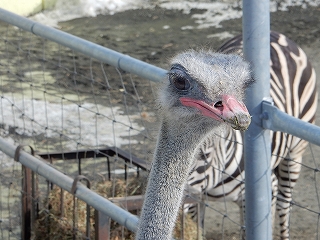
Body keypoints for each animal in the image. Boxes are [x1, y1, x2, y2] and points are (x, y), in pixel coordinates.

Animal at [185, 31, 318, 239]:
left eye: (204, 155)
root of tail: (275, 34)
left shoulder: (266, 188)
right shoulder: (195, 199)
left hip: (295, 152)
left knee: (284, 204)